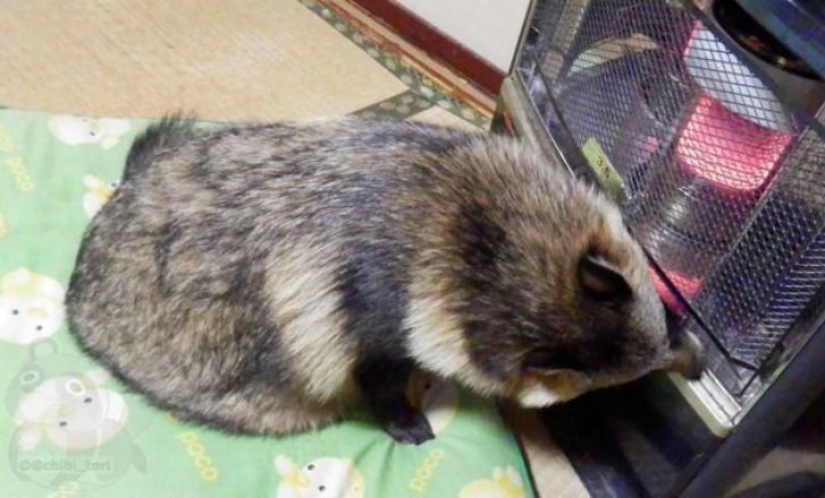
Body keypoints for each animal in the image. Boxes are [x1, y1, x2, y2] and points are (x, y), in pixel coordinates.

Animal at [66, 116, 704, 445]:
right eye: (624, 378)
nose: (691, 360)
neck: (475, 234)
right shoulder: (376, 323)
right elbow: (380, 378)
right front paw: (404, 418)